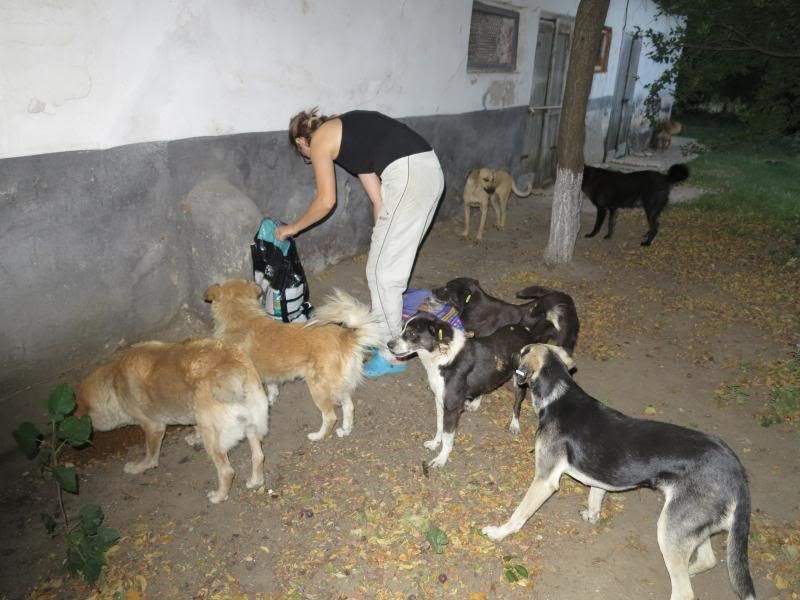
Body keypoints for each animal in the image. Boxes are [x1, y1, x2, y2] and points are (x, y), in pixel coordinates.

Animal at [78, 340, 272, 504]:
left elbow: (150, 456)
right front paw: (194, 437)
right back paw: (255, 481)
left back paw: (218, 497)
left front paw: (138, 467)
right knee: (258, 456)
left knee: (227, 472)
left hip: (214, 440)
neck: (113, 382)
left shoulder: (153, 427)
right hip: (252, 427)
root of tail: (233, 367)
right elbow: (194, 426)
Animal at [205, 280, 382, 440]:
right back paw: (345, 430)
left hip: (318, 388)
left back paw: (317, 436)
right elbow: (272, 388)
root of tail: (347, 337)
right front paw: (271, 400)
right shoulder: (268, 375)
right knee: (349, 407)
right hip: (339, 385)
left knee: (330, 417)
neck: (241, 318)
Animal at [388, 312, 552, 466]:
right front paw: (435, 443)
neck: (441, 355)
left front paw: (441, 458)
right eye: (402, 328)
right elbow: (439, 426)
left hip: (519, 382)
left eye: (411, 333)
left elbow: (447, 436)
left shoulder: (451, 408)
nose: (389, 344)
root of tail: (526, 330)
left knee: (517, 405)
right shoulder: (439, 401)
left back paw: (515, 424)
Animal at [482, 342, 756, 600]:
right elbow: (595, 498)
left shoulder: (544, 480)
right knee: (708, 561)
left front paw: (499, 532)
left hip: (671, 529)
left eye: (522, 351)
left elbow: (518, 516)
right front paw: (592, 516)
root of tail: (735, 469)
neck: (558, 395)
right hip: (692, 526)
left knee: (684, 591)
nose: (505, 360)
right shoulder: (598, 479)